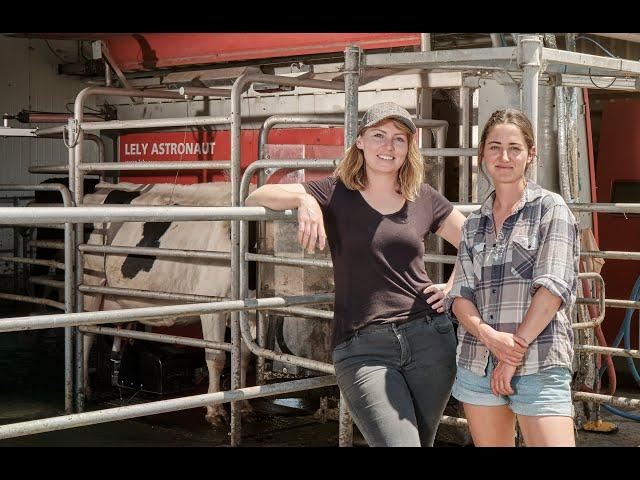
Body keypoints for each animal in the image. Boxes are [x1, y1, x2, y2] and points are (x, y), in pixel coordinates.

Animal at [82, 182, 255, 426]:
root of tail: (102, 187)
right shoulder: (213, 306)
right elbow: (216, 358)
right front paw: (215, 411)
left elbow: (245, 358)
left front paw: (245, 406)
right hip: (92, 284)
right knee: (86, 335)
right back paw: (85, 389)